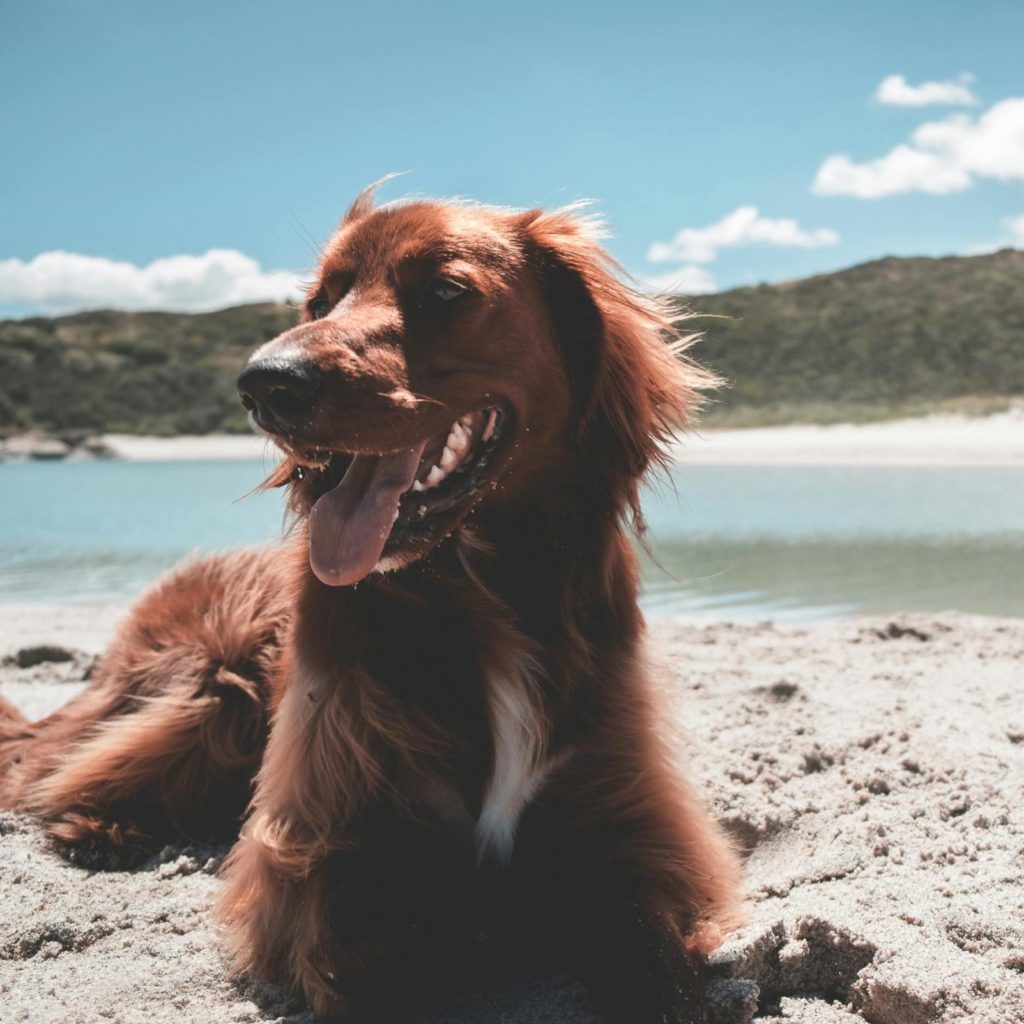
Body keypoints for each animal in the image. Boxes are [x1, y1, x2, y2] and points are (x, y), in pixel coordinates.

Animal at [0, 188, 741, 1019]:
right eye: (320, 301)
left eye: (445, 292)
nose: (265, 384)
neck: (482, 590)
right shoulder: (323, 854)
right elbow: (380, 952)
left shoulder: (625, 827)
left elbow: (655, 963)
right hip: (206, 689)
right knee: (55, 764)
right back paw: (100, 824)